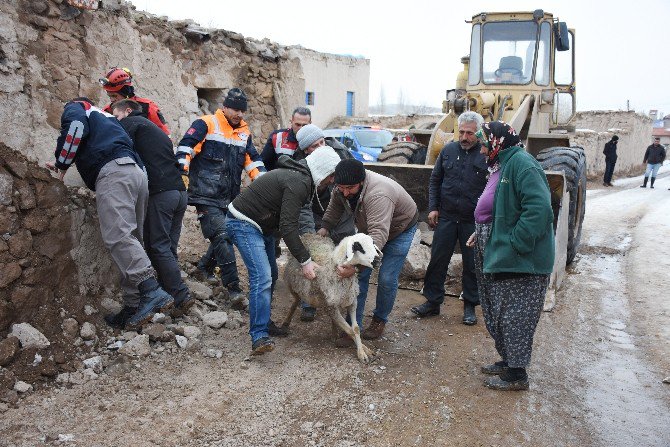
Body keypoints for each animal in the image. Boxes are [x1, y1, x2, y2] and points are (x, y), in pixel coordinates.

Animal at [280, 234, 380, 364]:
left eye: (372, 243)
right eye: (358, 247)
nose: (378, 260)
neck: (334, 268)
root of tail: (309, 234)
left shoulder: (352, 301)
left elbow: (356, 329)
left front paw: (365, 349)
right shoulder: (331, 306)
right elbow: (350, 331)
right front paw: (362, 353)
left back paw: (334, 332)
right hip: (293, 285)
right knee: (295, 302)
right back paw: (286, 322)